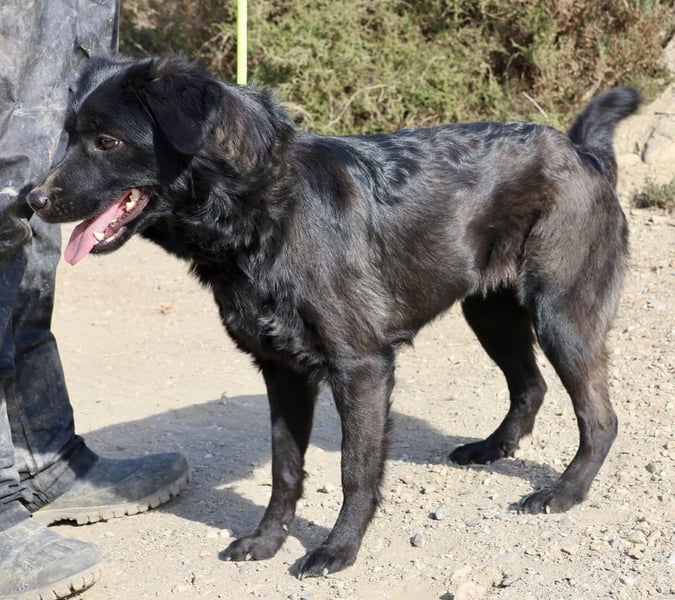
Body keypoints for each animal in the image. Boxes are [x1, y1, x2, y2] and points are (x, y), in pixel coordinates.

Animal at [27, 55, 639, 577]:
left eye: (107, 141)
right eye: (67, 136)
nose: (30, 200)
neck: (265, 210)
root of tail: (579, 151)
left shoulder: (362, 367)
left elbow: (355, 470)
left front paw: (338, 549)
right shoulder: (282, 371)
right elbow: (285, 470)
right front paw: (267, 540)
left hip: (562, 317)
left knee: (600, 418)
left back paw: (564, 492)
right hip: (489, 313)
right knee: (530, 385)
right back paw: (492, 448)